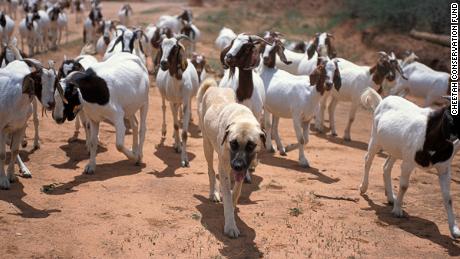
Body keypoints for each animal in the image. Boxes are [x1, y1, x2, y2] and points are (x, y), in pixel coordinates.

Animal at [0, 58, 55, 189]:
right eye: (39, 81)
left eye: (55, 82)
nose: (51, 104)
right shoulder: (1, 129)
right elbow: (2, 154)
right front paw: (3, 180)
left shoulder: (19, 126)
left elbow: (14, 150)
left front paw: (11, 176)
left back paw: (24, 170)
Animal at [156, 35, 198, 168]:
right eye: (161, 46)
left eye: (175, 47)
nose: (163, 63)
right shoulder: (171, 101)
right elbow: (175, 125)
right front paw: (178, 147)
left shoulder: (186, 101)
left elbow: (184, 132)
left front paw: (184, 160)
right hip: (164, 96)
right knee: (164, 108)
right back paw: (166, 133)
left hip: (184, 101)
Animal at [196, 77, 264, 240]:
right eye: (233, 143)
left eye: (251, 146)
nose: (237, 165)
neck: (241, 118)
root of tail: (215, 88)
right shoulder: (225, 168)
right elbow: (226, 195)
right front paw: (231, 225)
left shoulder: (242, 169)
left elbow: (237, 190)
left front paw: (233, 203)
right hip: (207, 145)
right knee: (211, 170)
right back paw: (214, 193)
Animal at [260, 37, 340, 168]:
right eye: (323, 70)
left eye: (334, 71)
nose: (329, 84)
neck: (310, 92)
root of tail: (267, 70)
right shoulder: (296, 117)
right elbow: (301, 139)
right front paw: (303, 161)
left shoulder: (307, 119)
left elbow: (306, 139)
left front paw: (288, 147)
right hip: (266, 107)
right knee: (267, 124)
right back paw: (269, 147)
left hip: (277, 110)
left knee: (275, 128)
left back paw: (281, 149)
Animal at [360, 96, 460, 240]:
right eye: (448, 114)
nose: (453, 137)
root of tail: (383, 100)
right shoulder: (408, 162)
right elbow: (404, 186)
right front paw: (397, 211)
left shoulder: (444, 169)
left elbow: (448, 198)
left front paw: (455, 230)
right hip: (375, 138)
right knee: (368, 160)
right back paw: (363, 188)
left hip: (396, 150)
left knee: (386, 167)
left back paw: (391, 198)